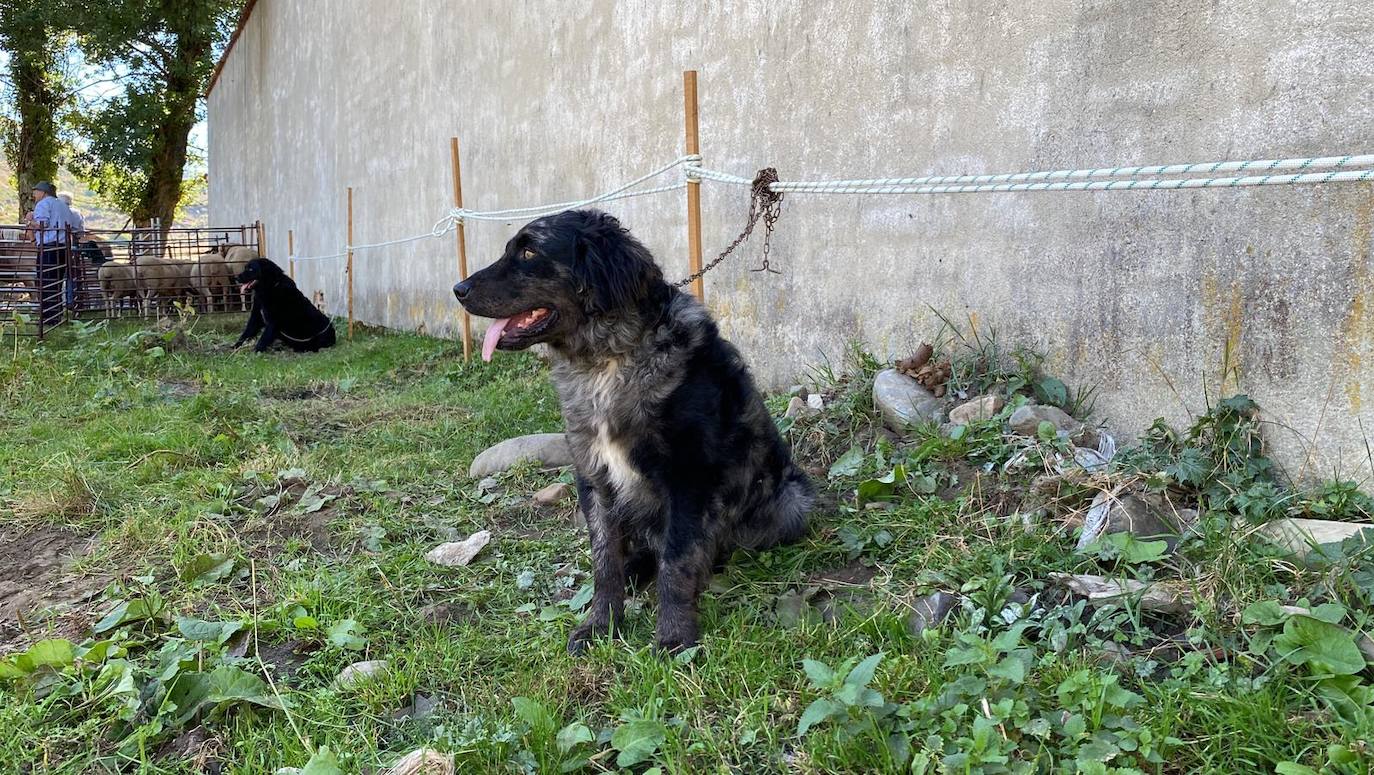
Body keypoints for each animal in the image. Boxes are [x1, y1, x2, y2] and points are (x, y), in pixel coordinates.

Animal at [456, 207, 807, 654]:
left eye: (530, 251)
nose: (458, 289)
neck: (606, 362)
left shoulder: (687, 479)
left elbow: (677, 561)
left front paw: (675, 636)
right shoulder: (594, 477)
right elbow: (605, 561)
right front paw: (600, 624)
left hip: (793, 501)